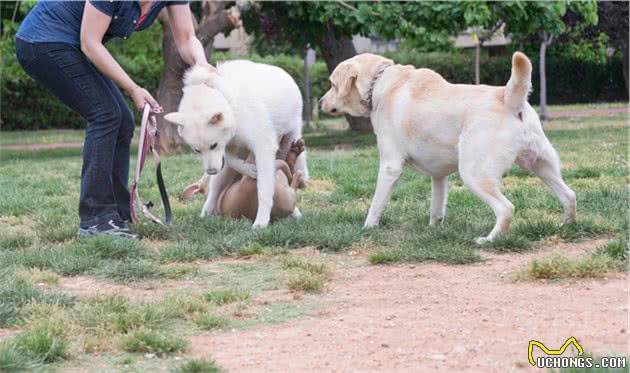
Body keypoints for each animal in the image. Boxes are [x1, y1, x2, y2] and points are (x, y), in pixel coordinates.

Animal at [165, 61, 308, 227]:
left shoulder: (263, 148)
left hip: (292, 138)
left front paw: (261, 221)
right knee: (214, 191)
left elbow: (264, 191)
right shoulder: (230, 148)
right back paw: (206, 213)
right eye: (197, 151)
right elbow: (233, 161)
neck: (229, 103)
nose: (211, 171)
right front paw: (249, 170)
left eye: (213, 145)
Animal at [324, 53, 576, 244]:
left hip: (474, 174)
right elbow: (437, 208)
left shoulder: (390, 167)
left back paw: (488, 240)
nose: (320, 102)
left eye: (333, 85)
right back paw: (565, 226)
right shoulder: (439, 175)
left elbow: (376, 205)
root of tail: (508, 98)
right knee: (569, 196)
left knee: (506, 209)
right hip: (543, 166)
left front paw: (367, 228)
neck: (379, 83)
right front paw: (433, 229)